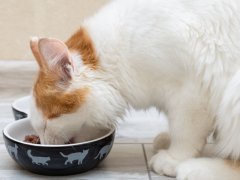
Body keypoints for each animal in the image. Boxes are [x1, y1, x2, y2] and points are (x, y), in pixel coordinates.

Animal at [28, 0, 240, 179]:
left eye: (46, 123)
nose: (44, 145)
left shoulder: (191, 93)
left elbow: (185, 132)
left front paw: (174, 158)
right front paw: (168, 140)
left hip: (233, 93)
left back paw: (194, 169)